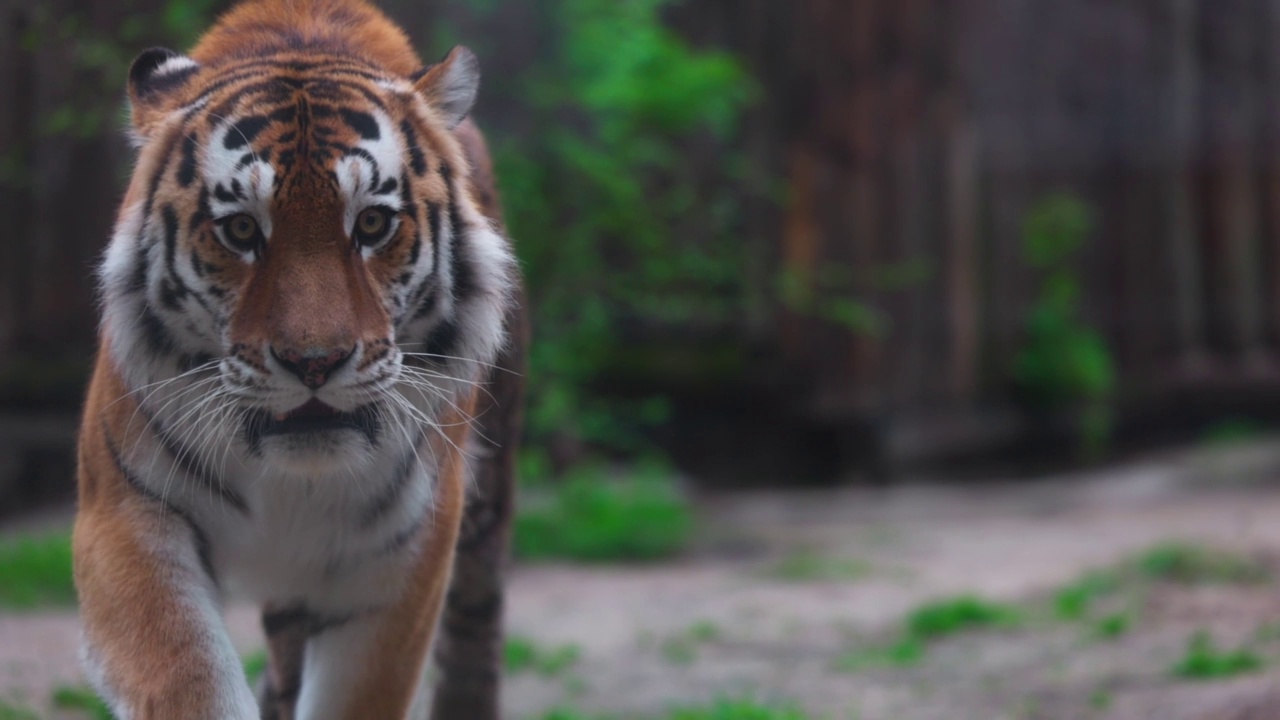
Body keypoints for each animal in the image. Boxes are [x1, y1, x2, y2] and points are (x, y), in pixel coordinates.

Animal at [71, 0, 524, 712]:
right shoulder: (124, 511)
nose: (315, 363)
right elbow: (186, 673)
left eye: (372, 225)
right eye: (240, 230)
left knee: (476, 631)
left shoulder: (406, 550)